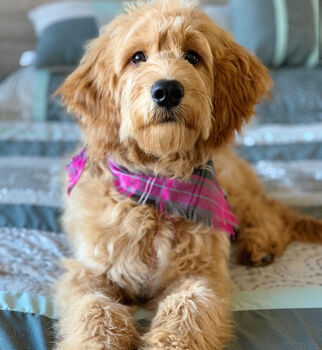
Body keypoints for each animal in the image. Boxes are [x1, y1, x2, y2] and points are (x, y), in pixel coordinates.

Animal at [55, 1, 322, 348]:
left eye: (193, 56)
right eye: (137, 57)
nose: (167, 90)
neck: (156, 184)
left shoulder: (201, 273)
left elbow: (189, 307)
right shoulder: (89, 273)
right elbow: (94, 309)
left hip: (233, 193)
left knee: (270, 210)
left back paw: (261, 244)